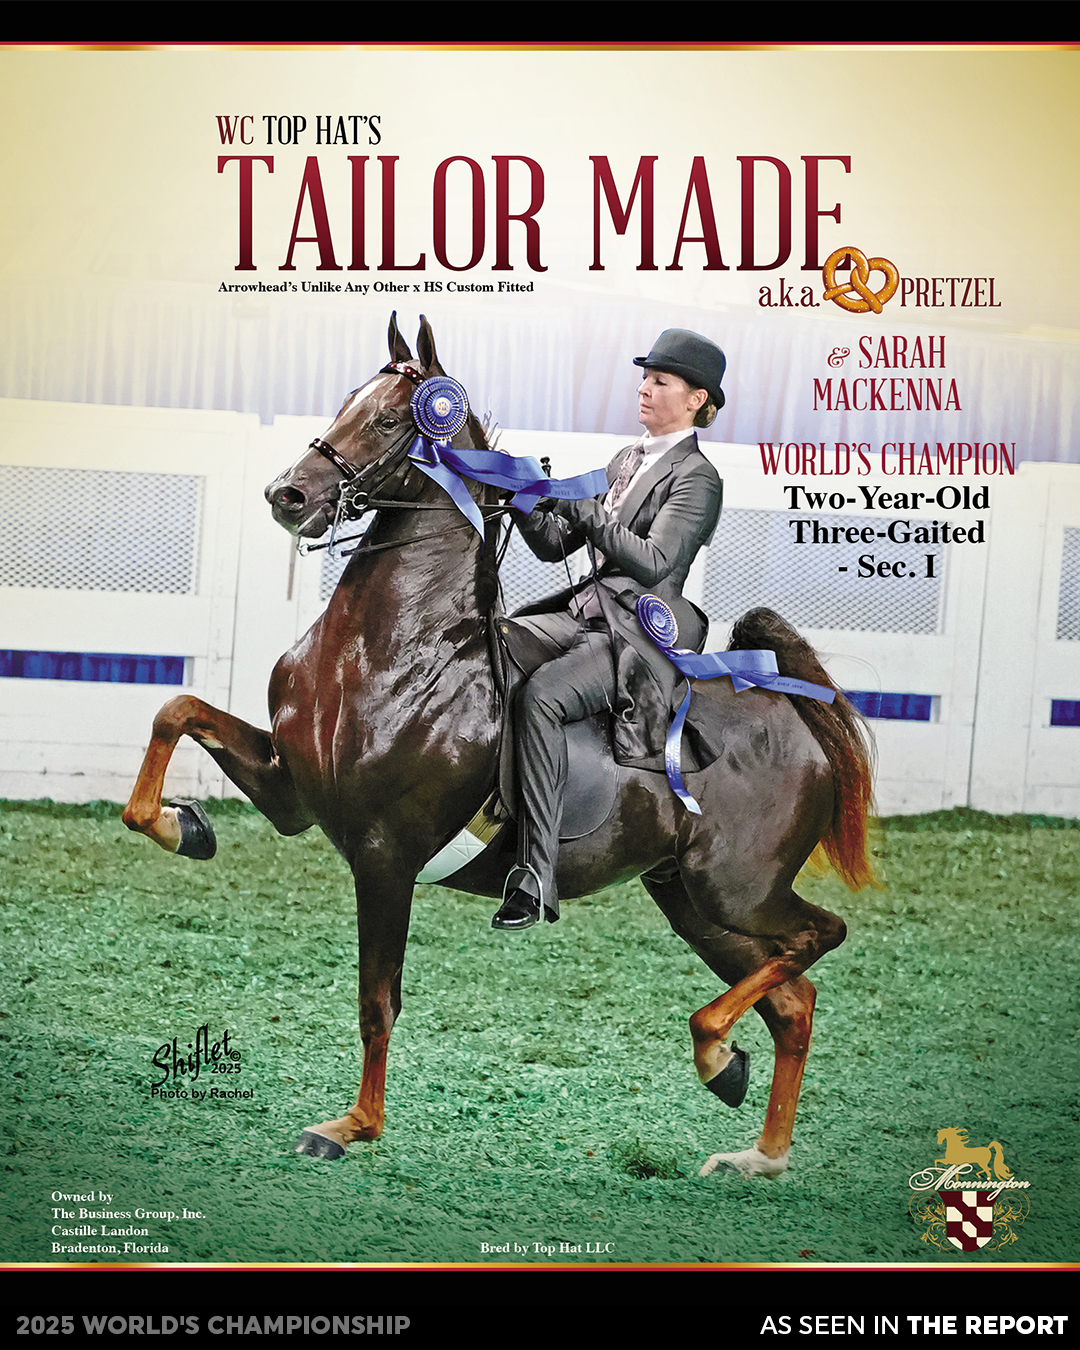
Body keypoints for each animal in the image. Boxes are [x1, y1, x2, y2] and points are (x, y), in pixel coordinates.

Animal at [122, 314, 875, 1178]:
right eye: (349, 400)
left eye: (394, 420)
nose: (290, 495)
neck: (393, 647)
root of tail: (792, 715)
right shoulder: (290, 793)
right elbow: (176, 711)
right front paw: (184, 826)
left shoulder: (385, 853)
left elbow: (377, 1000)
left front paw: (352, 1126)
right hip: (693, 900)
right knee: (793, 1002)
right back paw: (756, 1148)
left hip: (738, 889)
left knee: (821, 938)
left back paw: (716, 1052)